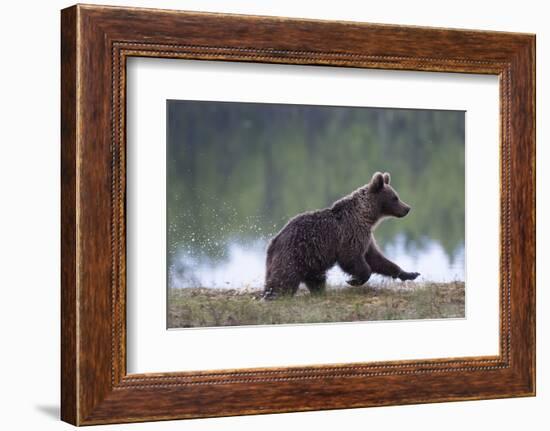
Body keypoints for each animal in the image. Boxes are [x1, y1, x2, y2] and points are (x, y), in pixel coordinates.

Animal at [264, 170, 422, 298]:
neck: (367, 216)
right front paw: (354, 280)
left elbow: (377, 259)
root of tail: (274, 241)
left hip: (311, 261)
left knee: (315, 279)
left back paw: (318, 292)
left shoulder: (366, 237)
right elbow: (352, 258)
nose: (407, 208)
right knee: (285, 279)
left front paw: (410, 273)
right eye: (395, 197)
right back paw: (273, 295)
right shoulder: (350, 234)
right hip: (295, 254)